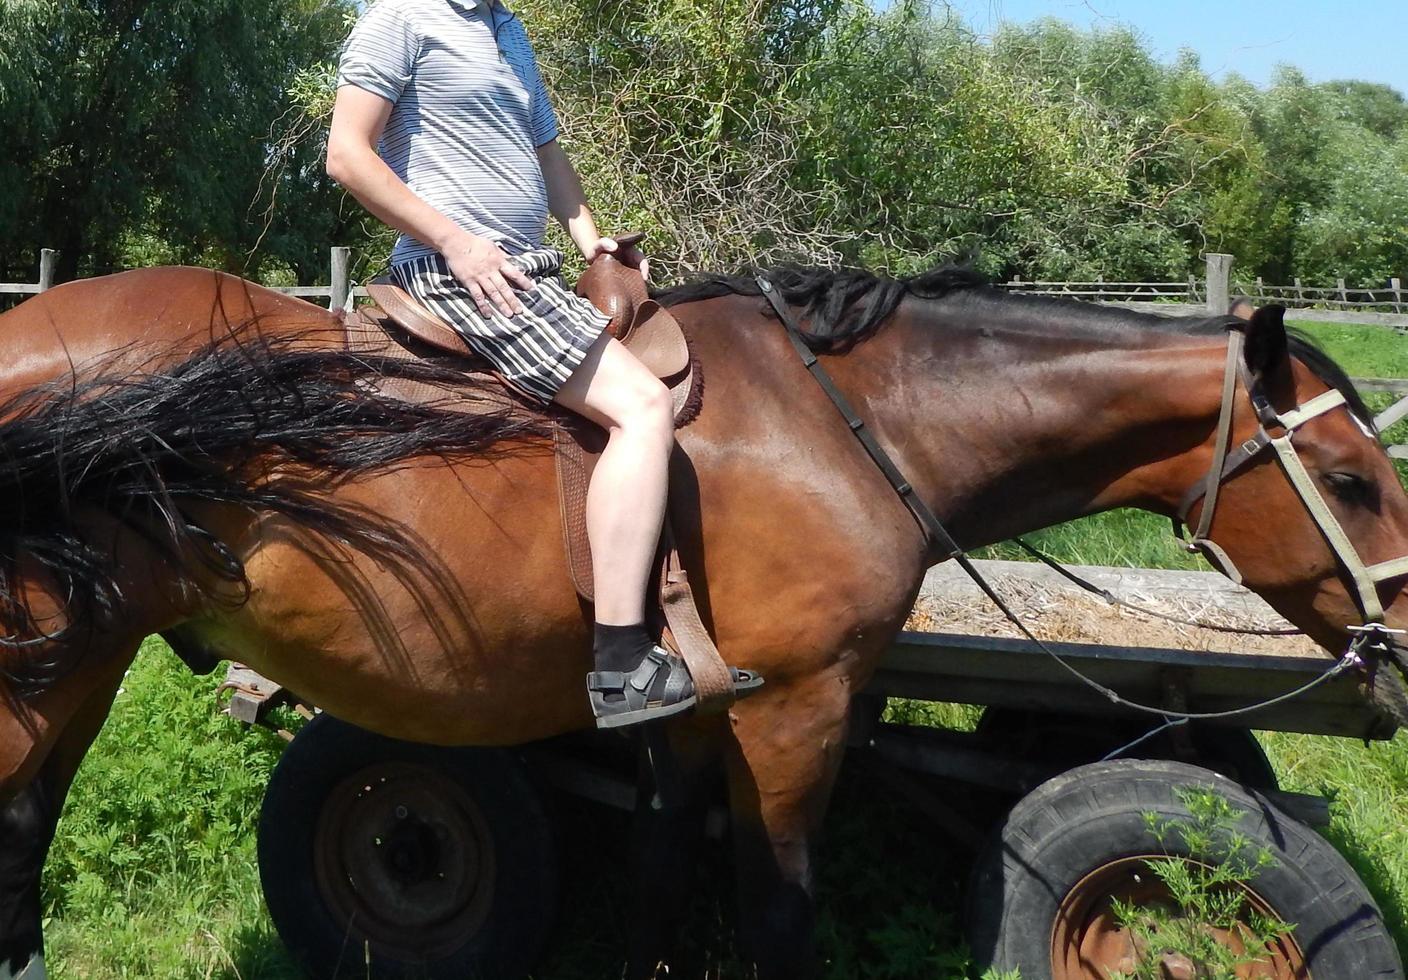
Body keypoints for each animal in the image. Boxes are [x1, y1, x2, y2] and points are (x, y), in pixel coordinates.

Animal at [0, 261, 1402, 980]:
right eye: (1348, 480)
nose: (1395, 637)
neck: (851, 420)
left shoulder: (687, 716)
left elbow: (664, 880)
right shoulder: (796, 710)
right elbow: (777, 909)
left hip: (86, 661)